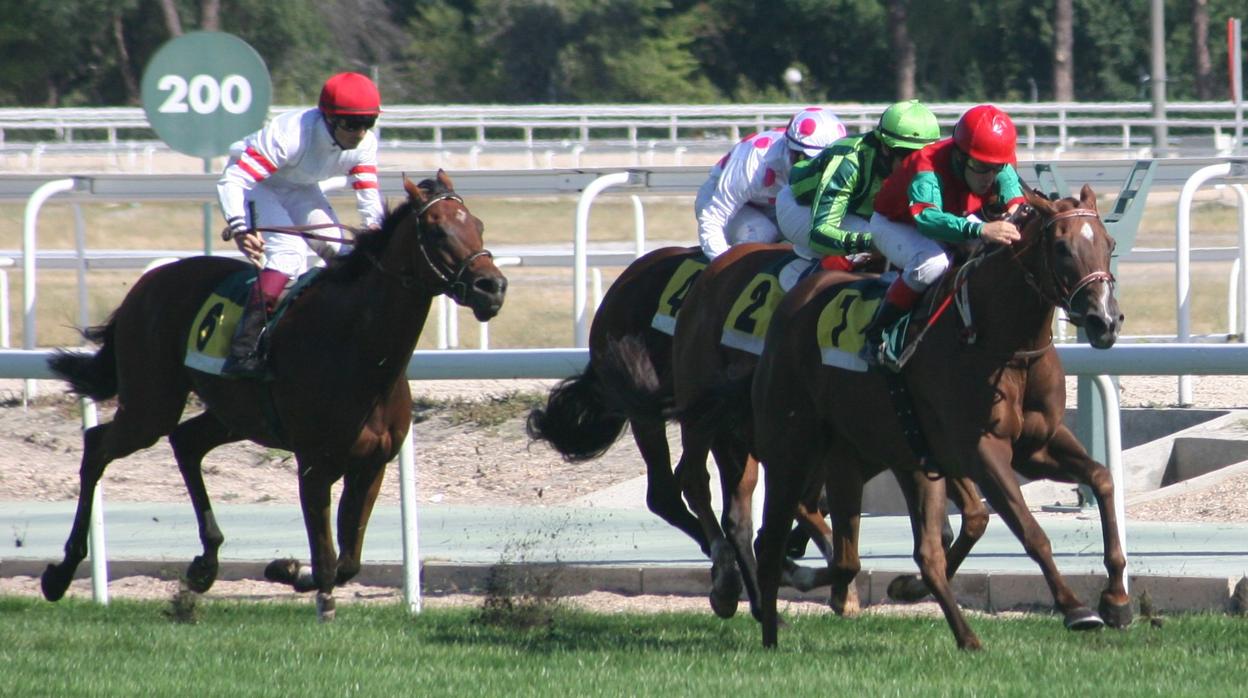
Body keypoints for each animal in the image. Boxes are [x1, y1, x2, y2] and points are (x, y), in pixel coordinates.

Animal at [41, 172, 506, 619]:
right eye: (438, 231)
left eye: (479, 225)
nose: (492, 287)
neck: (359, 349)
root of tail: (148, 282)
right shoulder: (314, 466)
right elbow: (328, 558)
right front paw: (317, 596)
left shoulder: (372, 464)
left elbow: (348, 560)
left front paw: (287, 569)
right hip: (151, 403)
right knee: (98, 446)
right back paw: (60, 572)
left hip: (233, 413)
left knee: (186, 442)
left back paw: (205, 563)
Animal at [748, 186, 1133, 649]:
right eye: (1061, 248)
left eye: (1109, 244)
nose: (1105, 321)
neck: (1001, 342)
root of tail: (795, 301)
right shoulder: (980, 452)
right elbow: (1029, 531)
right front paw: (1076, 607)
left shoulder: (1037, 445)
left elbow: (1102, 479)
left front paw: (1116, 600)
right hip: (791, 448)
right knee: (773, 540)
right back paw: (772, 628)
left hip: (868, 454)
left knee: (886, 553)